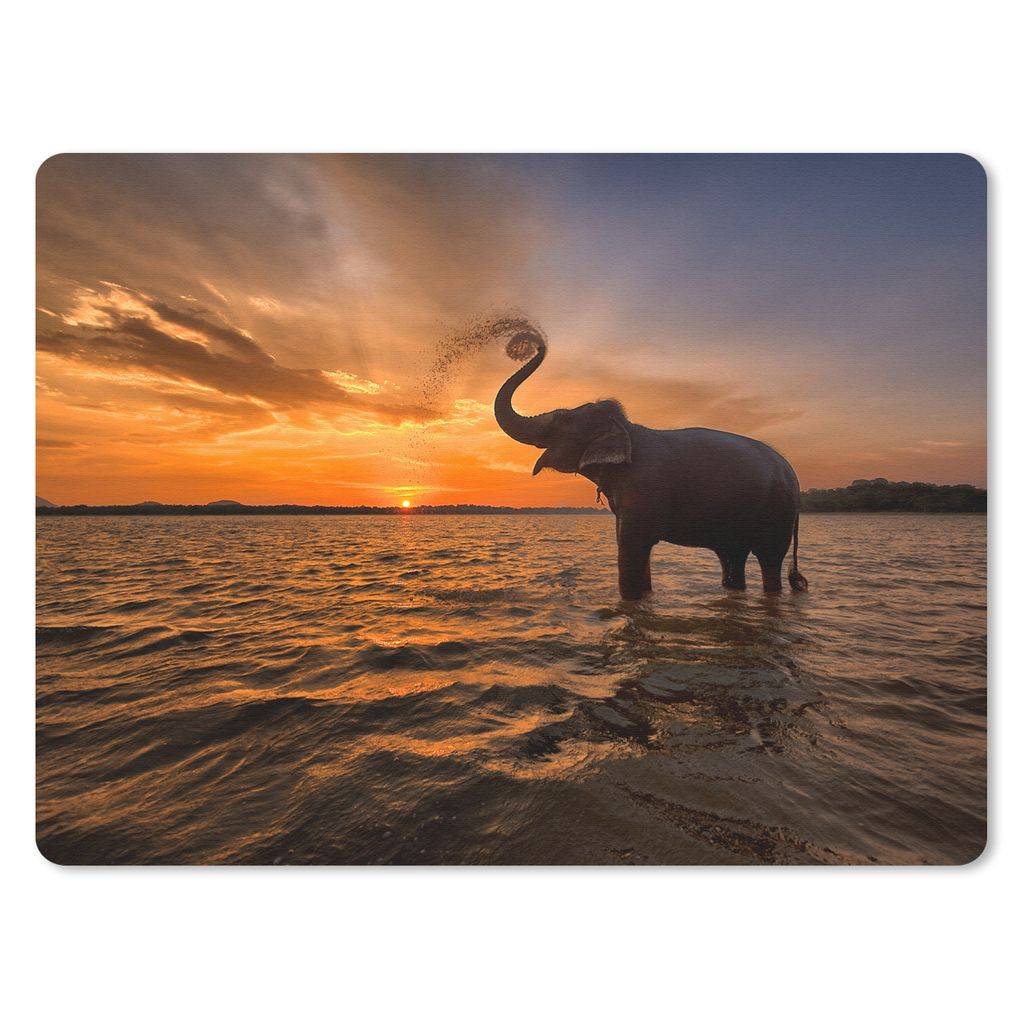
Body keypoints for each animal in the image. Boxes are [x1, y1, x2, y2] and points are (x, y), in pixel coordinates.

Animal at [493, 332, 808, 601]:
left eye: (562, 419)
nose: (531, 343)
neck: (629, 429)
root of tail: (793, 474)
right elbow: (630, 547)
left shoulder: (643, 488)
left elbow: (631, 548)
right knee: (732, 559)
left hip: (776, 514)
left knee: (769, 560)